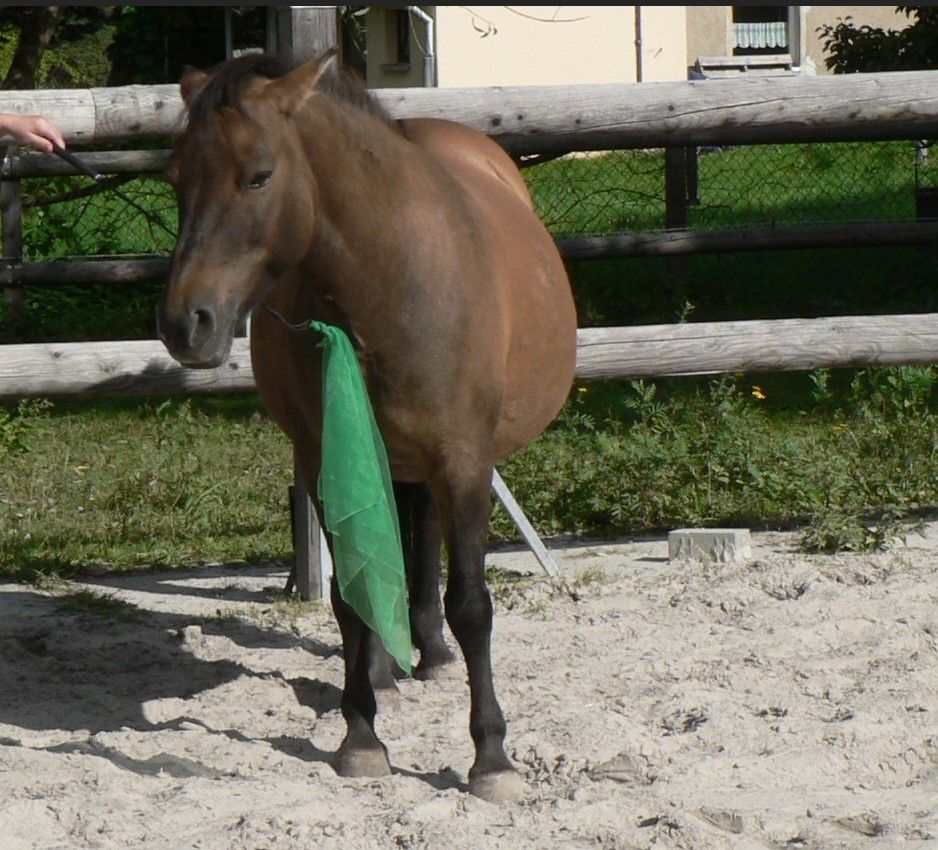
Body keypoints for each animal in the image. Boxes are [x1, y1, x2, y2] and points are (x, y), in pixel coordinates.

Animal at [157, 53, 576, 800]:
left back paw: (430, 651)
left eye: (258, 174)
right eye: (176, 179)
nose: (186, 323)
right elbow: (349, 602)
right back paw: (387, 668)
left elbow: (473, 605)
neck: (389, 282)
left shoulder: (464, 462)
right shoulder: (328, 456)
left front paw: (491, 756)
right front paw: (361, 736)